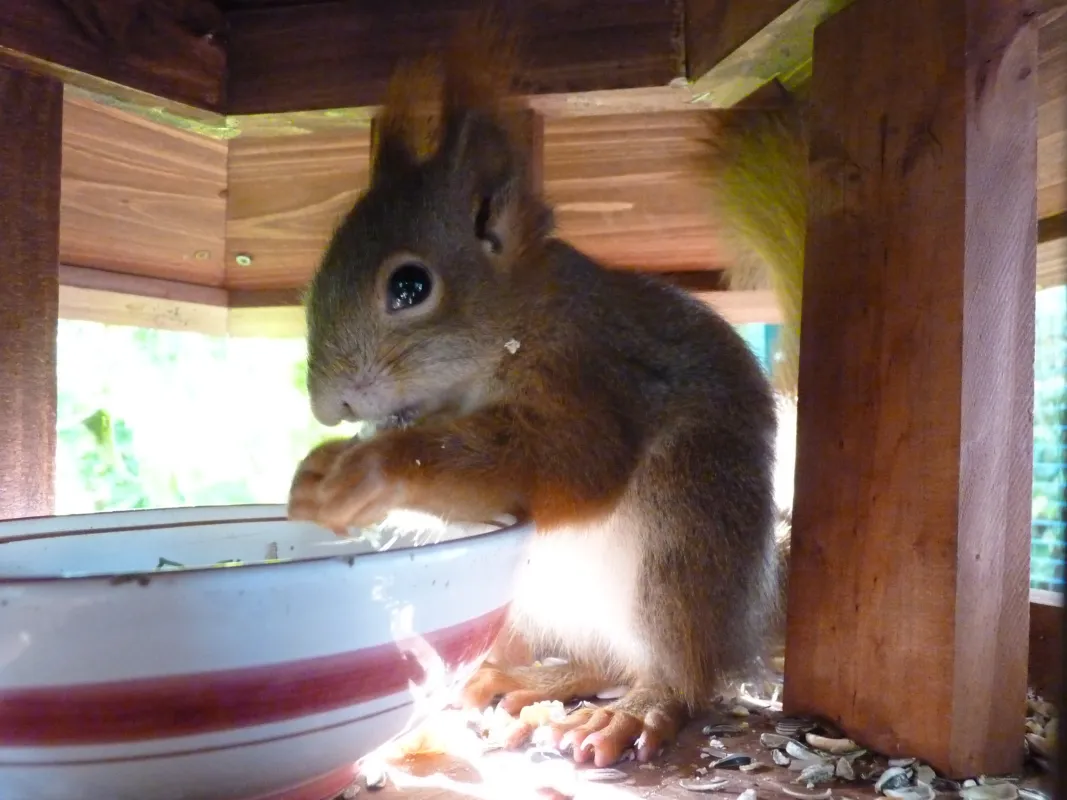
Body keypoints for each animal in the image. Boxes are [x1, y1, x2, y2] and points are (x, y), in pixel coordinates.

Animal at [288, 20, 801, 768]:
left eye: (410, 286)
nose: (330, 407)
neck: (518, 321)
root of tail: (754, 616)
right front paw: (317, 474)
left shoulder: (590, 373)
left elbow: (574, 461)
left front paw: (370, 469)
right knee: (604, 660)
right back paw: (531, 679)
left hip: (683, 533)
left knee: (682, 675)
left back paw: (633, 710)